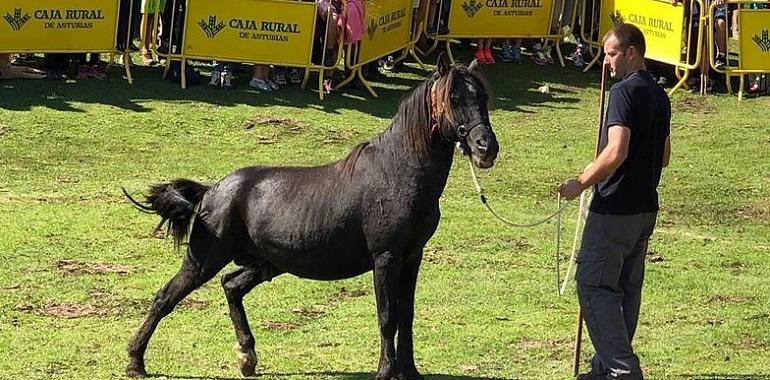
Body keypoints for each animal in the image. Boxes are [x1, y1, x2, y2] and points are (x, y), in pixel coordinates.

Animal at [124, 56, 498, 380]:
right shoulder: (386, 259)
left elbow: (406, 316)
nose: (486, 147)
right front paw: (386, 371)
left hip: (265, 264)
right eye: (454, 98)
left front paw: (410, 371)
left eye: (481, 96)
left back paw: (247, 357)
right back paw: (135, 361)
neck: (397, 172)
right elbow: (387, 317)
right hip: (203, 261)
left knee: (231, 286)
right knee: (165, 297)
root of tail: (212, 191)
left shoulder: (412, 258)